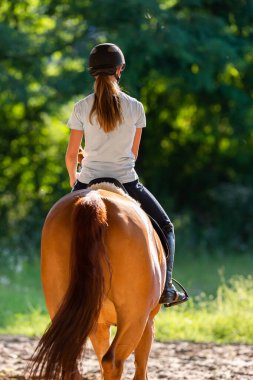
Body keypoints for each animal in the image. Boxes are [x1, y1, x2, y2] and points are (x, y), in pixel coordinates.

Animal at [28, 183, 166, 378]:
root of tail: (94, 199)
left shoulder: (98, 324)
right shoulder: (147, 320)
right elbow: (140, 367)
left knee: (72, 363)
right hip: (134, 318)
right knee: (112, 361)